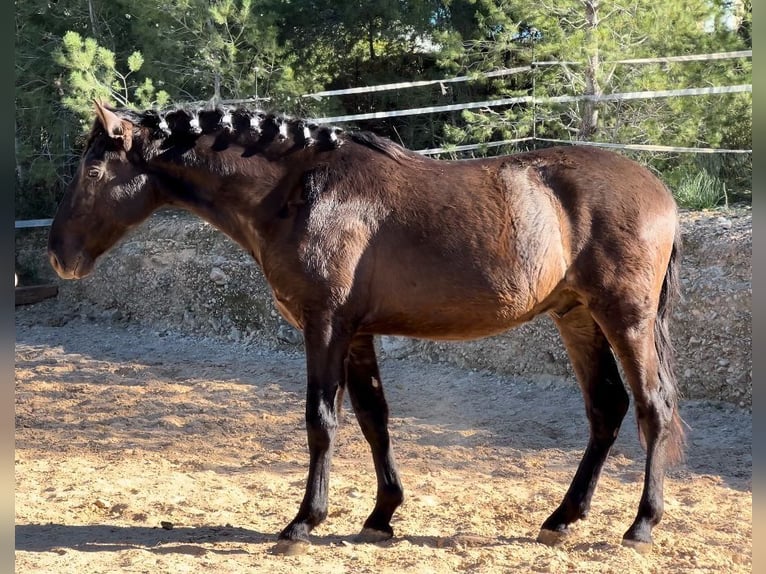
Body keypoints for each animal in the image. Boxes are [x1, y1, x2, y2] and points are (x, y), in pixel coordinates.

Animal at [46, 101, 684, 556]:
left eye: (94, 167)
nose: (57, 254)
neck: (304, 191)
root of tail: (659, 190)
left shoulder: (324, 326)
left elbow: (321, 422)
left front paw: (303, 522)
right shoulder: (354, 333)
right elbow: (374, 419)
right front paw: (381, 516)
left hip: (624, 317)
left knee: (652, 408)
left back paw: (641, 526)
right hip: (576, 316)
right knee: (606, 408)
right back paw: (561, 518)